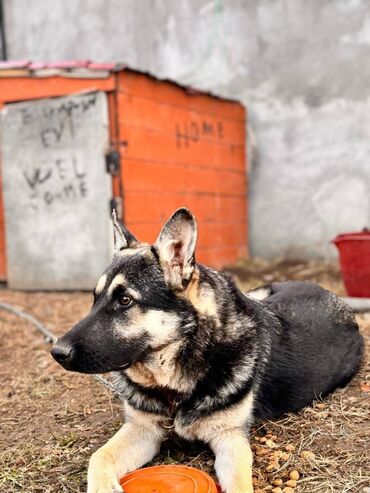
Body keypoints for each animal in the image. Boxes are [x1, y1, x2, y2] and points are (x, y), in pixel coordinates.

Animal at [50, 208, 362, 492]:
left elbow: (240, 485)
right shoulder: (142, 429)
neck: (175, 387)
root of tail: (334, 297)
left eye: (125, 300)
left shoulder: (230, 440)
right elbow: (98, 457)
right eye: (95, 298)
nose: (57, 352)